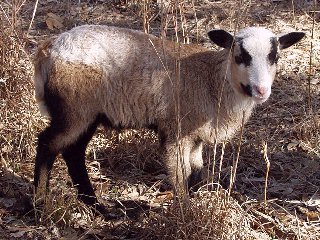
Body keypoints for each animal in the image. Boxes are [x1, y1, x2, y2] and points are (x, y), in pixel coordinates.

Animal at [33, 25, 304, 215]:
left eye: (274, 57)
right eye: (240, 56)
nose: (261, 90)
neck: (213, 80)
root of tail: (48, 49)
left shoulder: (196, 135)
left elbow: (196, 171)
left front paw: (196, 200)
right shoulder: (176, 131)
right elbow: (179, 174)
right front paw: (185, 212)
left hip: (88, 115)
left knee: (73, 152)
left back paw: (97, 208)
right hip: (75, 111)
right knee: (47, 144)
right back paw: (40, 205)